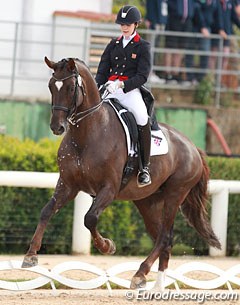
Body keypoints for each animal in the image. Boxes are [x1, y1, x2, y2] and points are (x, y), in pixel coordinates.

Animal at [22, 56, 221, 290]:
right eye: (51, 86)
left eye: (71, 88)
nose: (57, 127)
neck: (88, 133)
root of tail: (194, 148)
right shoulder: (68, 184)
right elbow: (46, 211)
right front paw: (31, 255)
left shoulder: (108, 189)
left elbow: (89, 219)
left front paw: (107, 246)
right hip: (147, 201)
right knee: (164, 237)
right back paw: (155, 285)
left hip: (175, 194)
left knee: (164, 236)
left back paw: (140, 274)